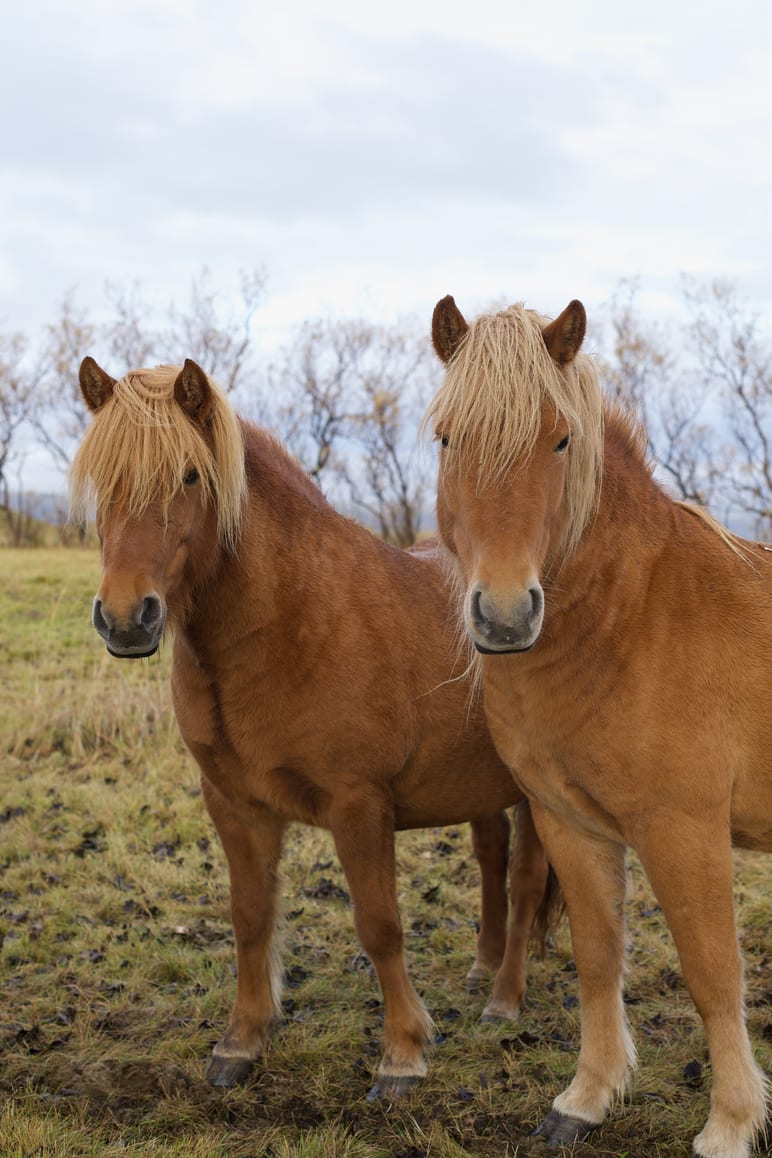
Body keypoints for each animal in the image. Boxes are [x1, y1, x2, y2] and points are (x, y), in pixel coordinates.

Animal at [70, 355, 557, 1101]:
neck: (292, 620)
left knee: (527, 879)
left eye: (189, 477)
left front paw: (403, 1055)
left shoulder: (358, 806)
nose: (127, 619)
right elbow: (249, 918)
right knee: (491, 857)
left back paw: (503, 999)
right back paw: (482, 969)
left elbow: (379, 925)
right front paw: (241, 1042)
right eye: (103, 479)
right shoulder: (235, 804)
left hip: (534, 792)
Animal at [426, 294, 771, 1157]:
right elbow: (598, 958)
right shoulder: (569, 824)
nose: (505, 615)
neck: (632, 616)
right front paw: (587, 1097)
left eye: (560, 439)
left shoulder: (684, 830)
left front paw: (730, 1124)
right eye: (447, 439)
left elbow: (713, 973)